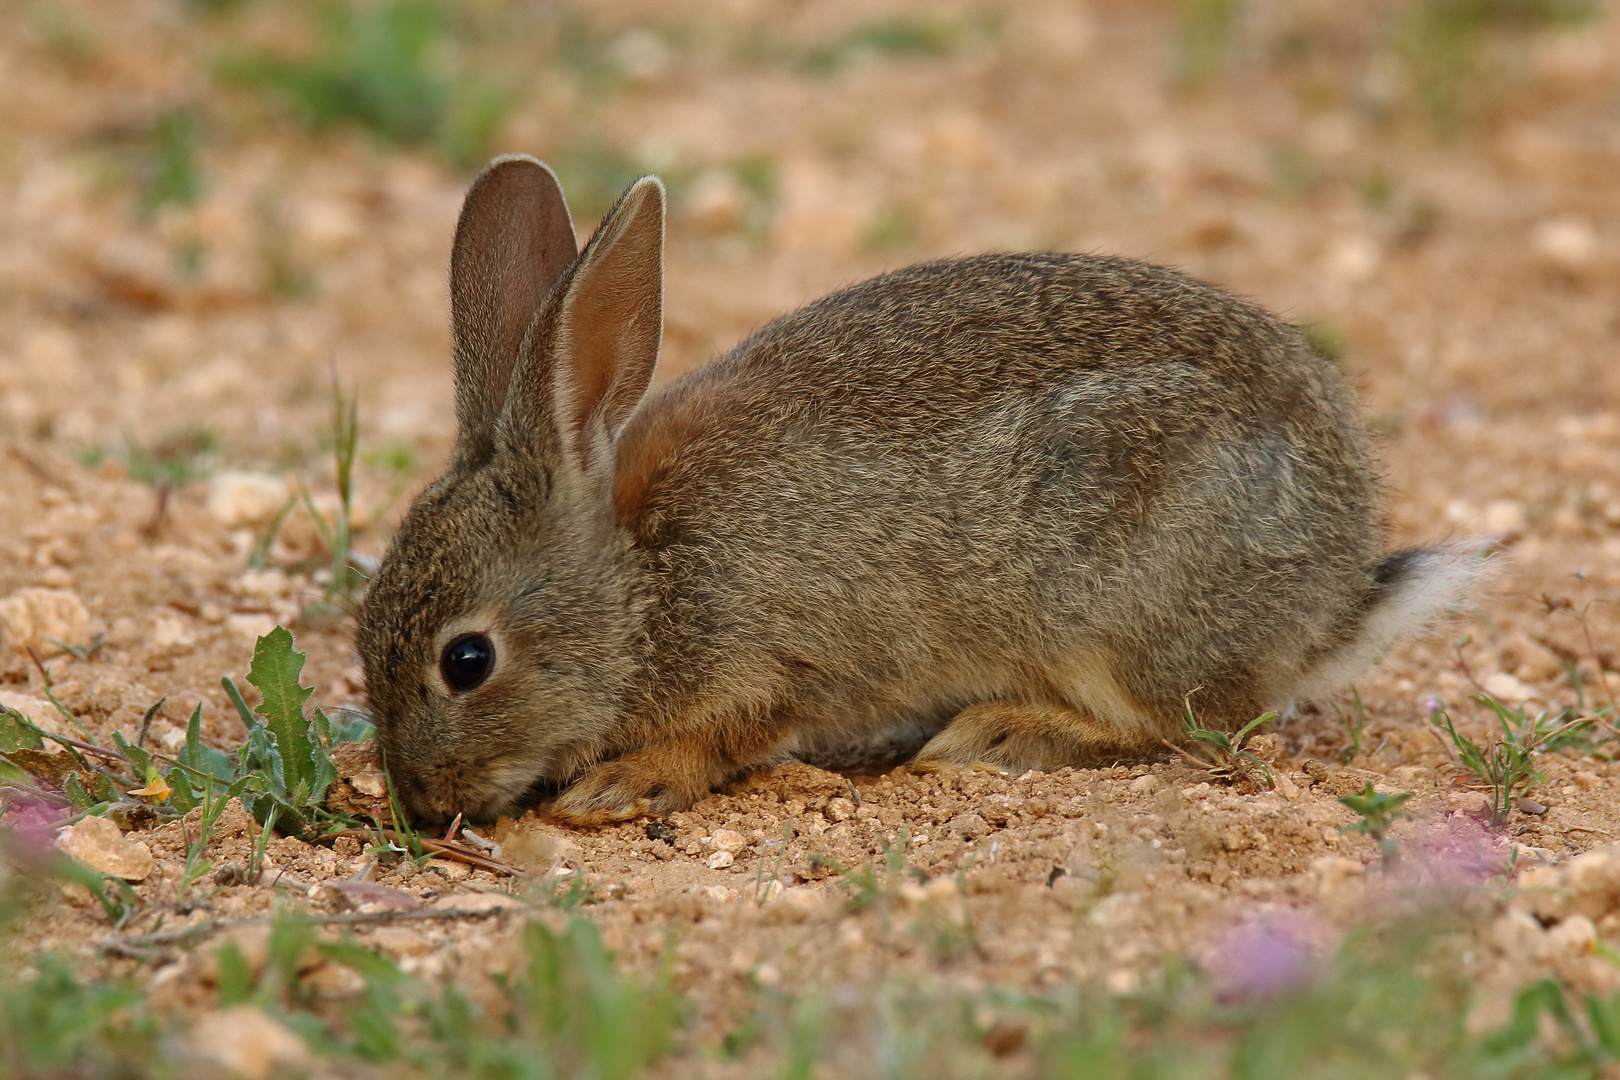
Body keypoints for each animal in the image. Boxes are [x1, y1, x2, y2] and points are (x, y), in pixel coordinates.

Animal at [354, 153, 1483, 829]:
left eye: (467, 660)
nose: (423, 802)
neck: (640, 580)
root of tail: (1331, 599)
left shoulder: (773, 658)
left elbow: (725, 735)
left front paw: (621, 783)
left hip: (1113, 605)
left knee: (1194, 725)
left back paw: (1001, 733)